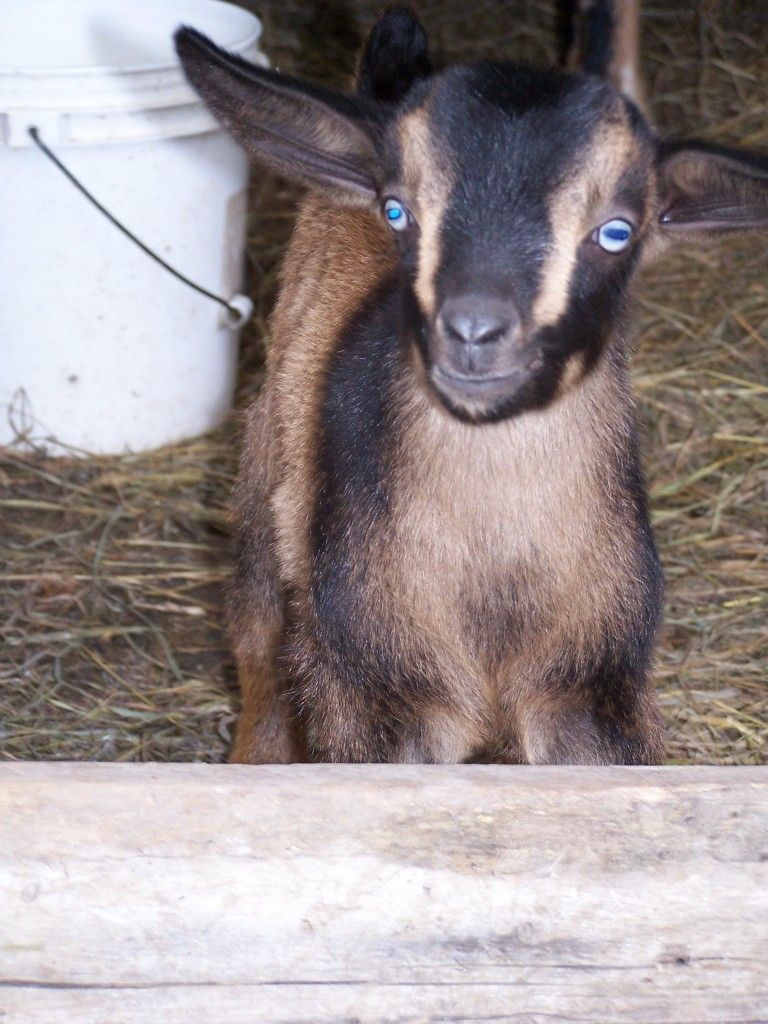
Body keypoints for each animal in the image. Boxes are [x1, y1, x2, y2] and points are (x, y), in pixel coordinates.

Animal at [175, 5, 768, 765]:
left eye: (616, 231)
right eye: (397, 210)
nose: (474, 329)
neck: (494, 573)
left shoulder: (591, 684)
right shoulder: (376, 695)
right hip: (263, 493)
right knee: (258, 651)